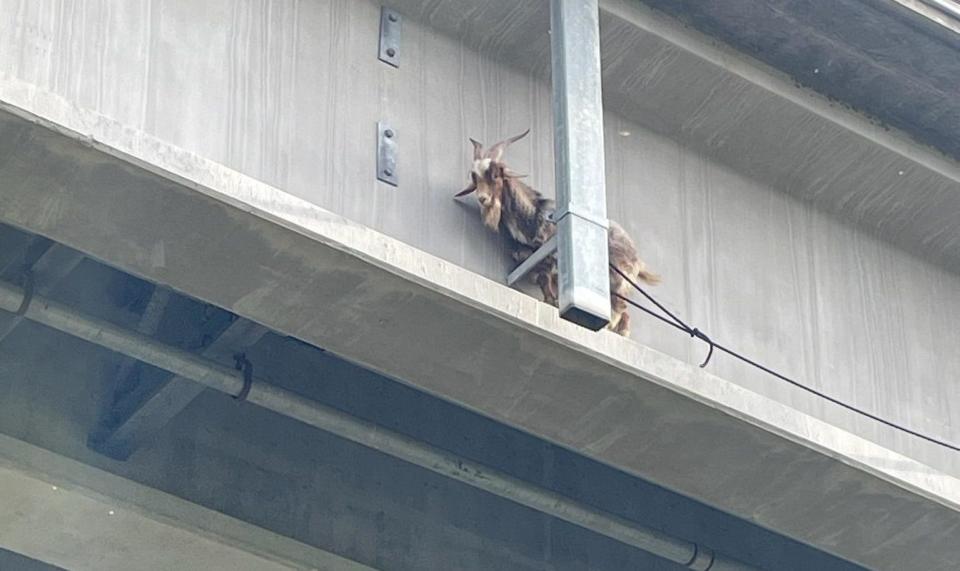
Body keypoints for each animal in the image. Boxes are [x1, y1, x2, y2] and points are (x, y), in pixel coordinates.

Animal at [454, 130, 656, 336]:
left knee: (620, 307)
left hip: (619, 278)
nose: (483, 198)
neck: (532, 213)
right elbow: (539, 278)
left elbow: (545, 280)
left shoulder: (549, 257)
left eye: (495, 175)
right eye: (475, 177)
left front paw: (551, 302)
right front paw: (550, 301)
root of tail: (637, 257)